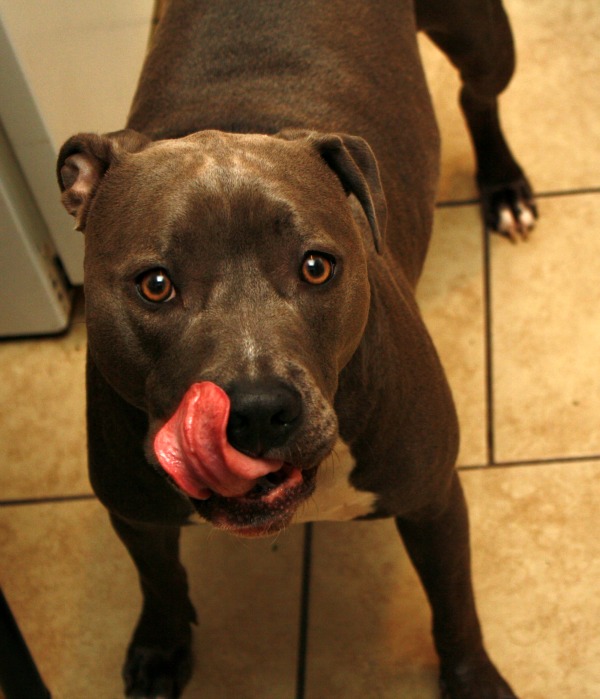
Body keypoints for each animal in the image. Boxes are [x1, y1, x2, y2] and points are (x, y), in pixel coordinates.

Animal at [55, 1, 536, 699]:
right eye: (156, 284)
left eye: (316, 267)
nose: (257, 410)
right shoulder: (135, 511)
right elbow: (159, 580)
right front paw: (163, 648)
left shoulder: (434, 499)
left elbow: (454, 605)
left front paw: (473, 680)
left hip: (482, 41)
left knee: (478, 95)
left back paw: (504, 187)